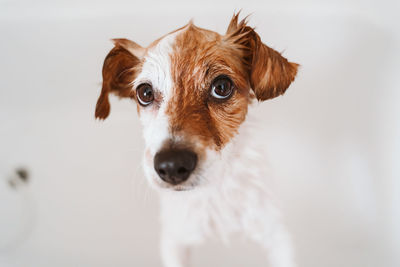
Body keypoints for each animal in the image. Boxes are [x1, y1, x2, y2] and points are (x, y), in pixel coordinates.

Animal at [95, 13, 298, 267]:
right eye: (145, 93)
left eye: (222, 86)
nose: (172, 165)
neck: (213, 193)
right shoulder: (174, 240)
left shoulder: (276, 235)